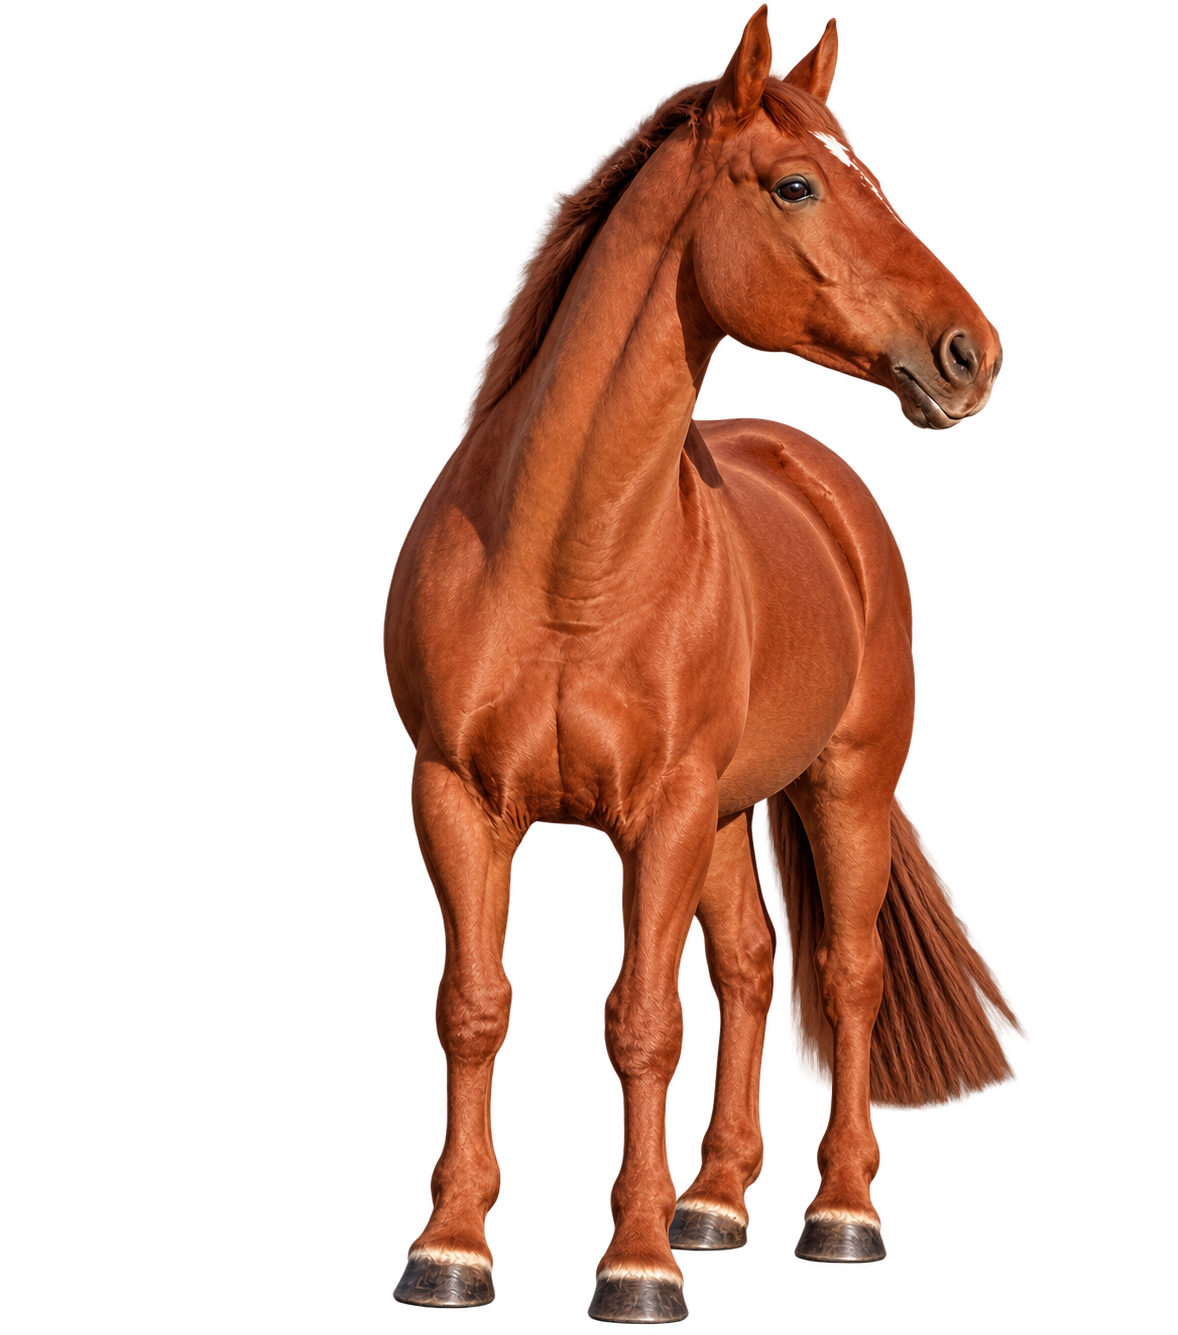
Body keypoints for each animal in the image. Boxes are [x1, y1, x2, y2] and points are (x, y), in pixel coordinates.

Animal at [385, 6, 1026, 1320]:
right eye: (795, 184)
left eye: (865, 173)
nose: (970, 355)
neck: (562, 565)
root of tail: (809, 466)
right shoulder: (456, 797)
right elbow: (474, 1008)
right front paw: (450, 1249)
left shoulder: (661, 812)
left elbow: (640, 1021)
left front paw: (633, 1266)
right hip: (732, 812)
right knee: (744, 967)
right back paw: (716, 1201)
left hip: (843, 786)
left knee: (843, 974)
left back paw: (838, 1215)